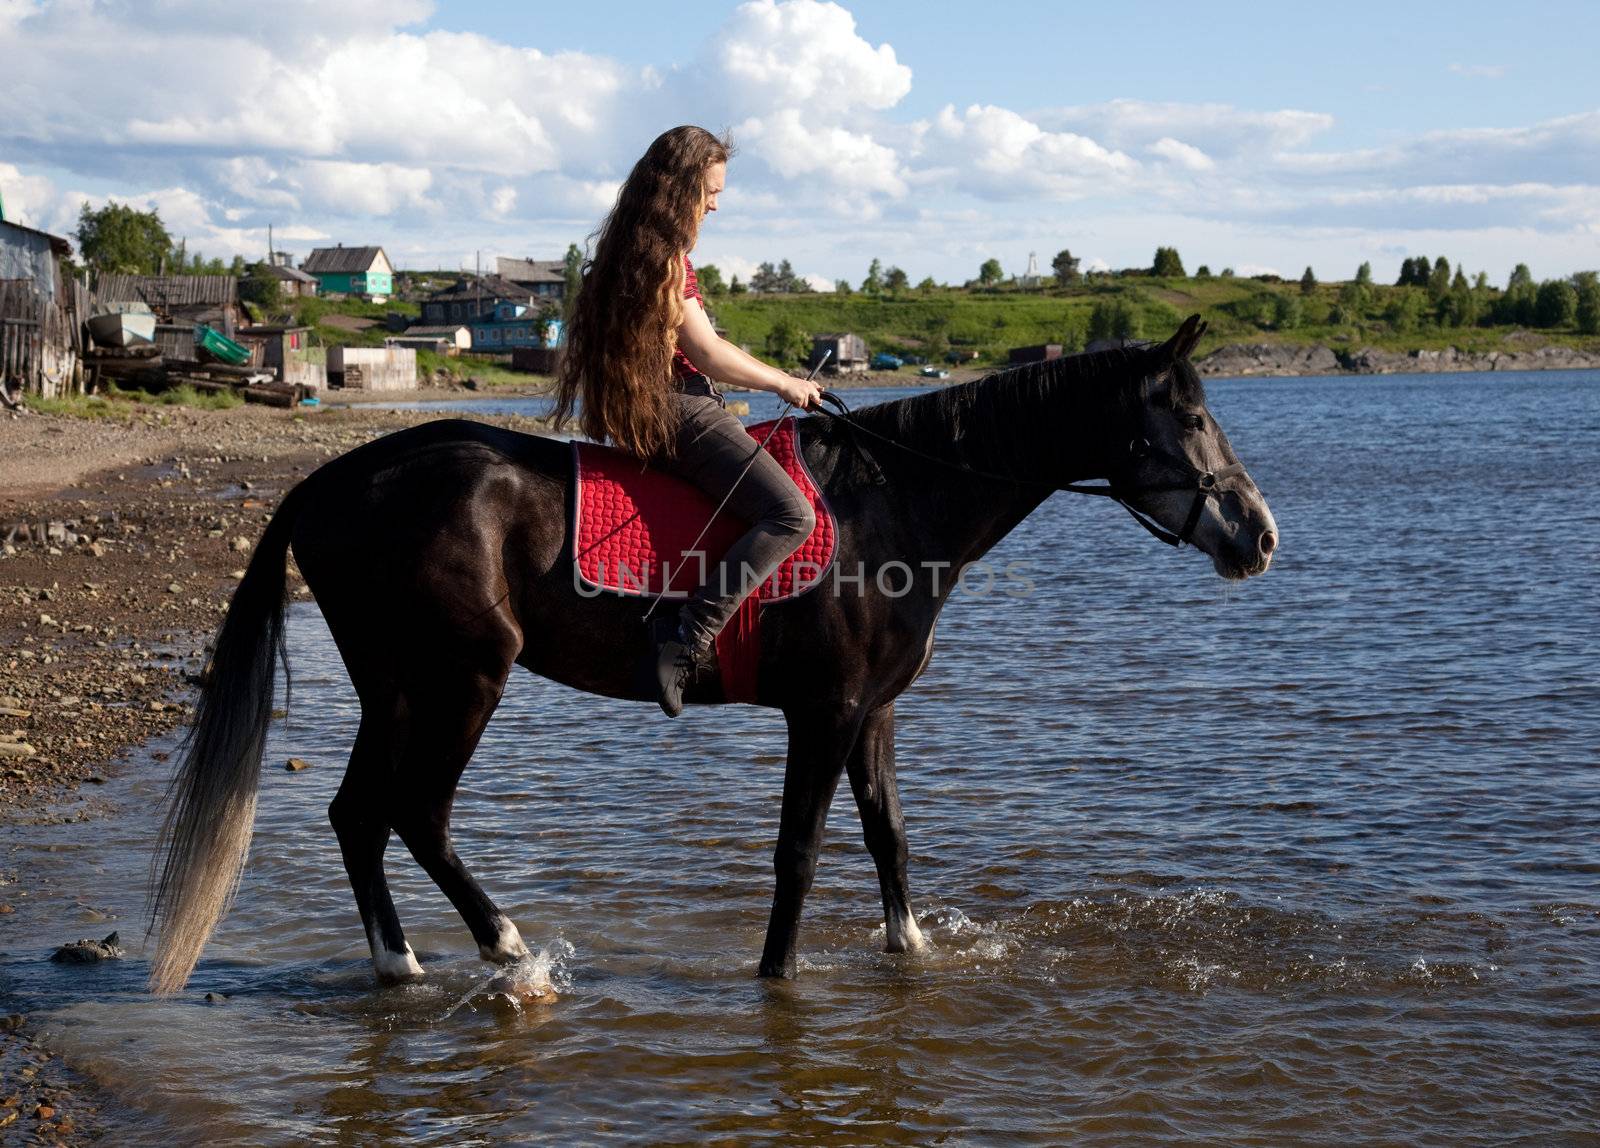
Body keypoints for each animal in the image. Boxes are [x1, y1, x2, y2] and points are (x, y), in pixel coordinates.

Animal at [147, 314, 1273, 997]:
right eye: (1188, 414)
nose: (1259, 535)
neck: (892, 503)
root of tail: (335, 477)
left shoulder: (874, 710)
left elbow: (890, 837)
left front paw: (906, 950)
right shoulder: (823, 712)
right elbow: (799, 851)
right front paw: (777, 979)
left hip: (393, 684)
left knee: (358, 815)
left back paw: (397, 962)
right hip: (463, 678)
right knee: (417, 812)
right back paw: (507, 948)